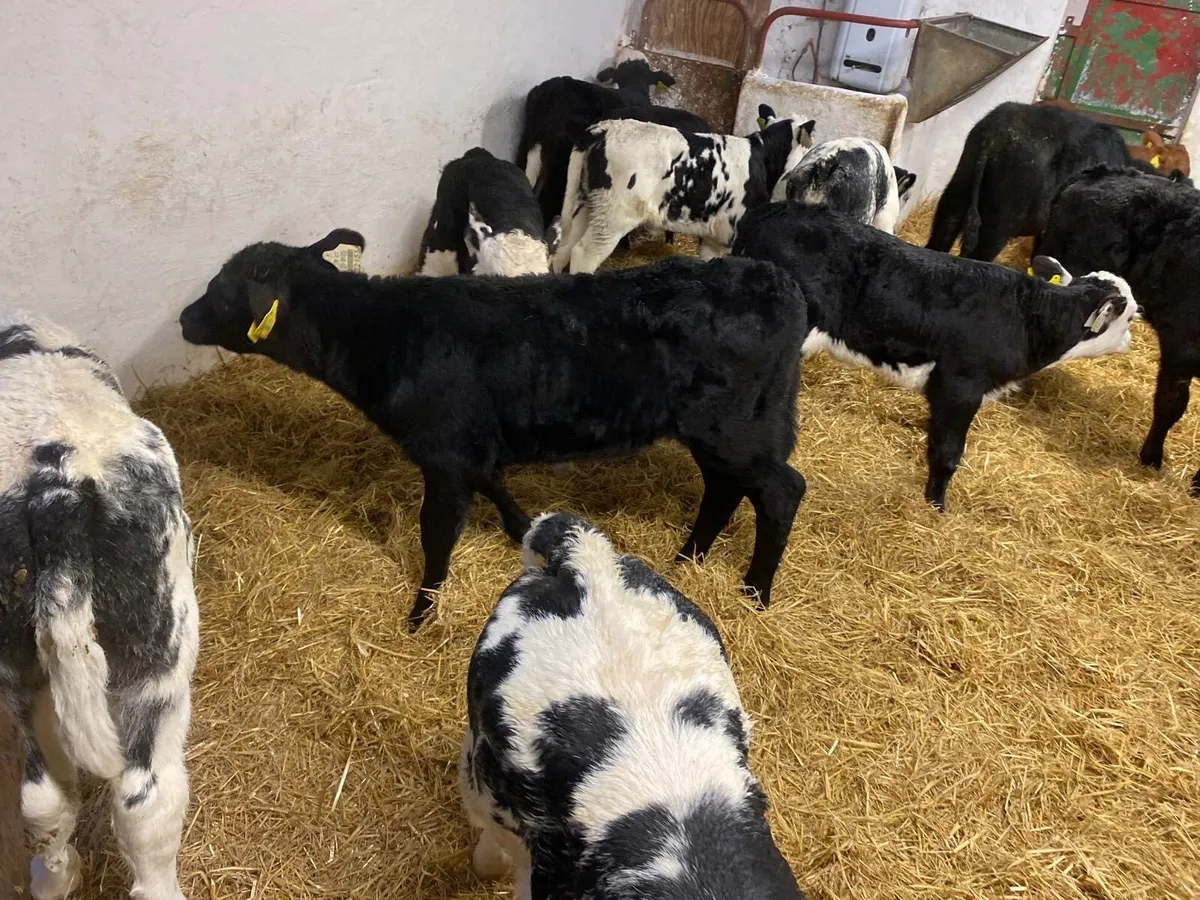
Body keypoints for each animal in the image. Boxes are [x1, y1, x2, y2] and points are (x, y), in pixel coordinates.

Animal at [0, 310, 199, 900]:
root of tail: (56, 487)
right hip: (158, 653)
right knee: (146, 801)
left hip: (16, 666)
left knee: (42, 798)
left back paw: (52, 879)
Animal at [179, 231, 807, 630]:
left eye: (222, 293)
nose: (184, 318)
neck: (383, 335)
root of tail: (772, 279)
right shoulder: (470, 450)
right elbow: (496, 487)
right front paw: (521, 528)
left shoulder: (445, 453)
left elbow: (436, 534)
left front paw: (420, 614)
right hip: (724, 432)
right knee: (724, 489)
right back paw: (689, 559)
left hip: (735, 430)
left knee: (781, 490)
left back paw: (754, 593)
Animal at [735, 203, 1137, 510]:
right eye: (1131, 315)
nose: (1131, 339)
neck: (1027, 316)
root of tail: (766, 213)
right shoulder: (960, 388)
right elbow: (947, 454)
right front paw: (936, 505)